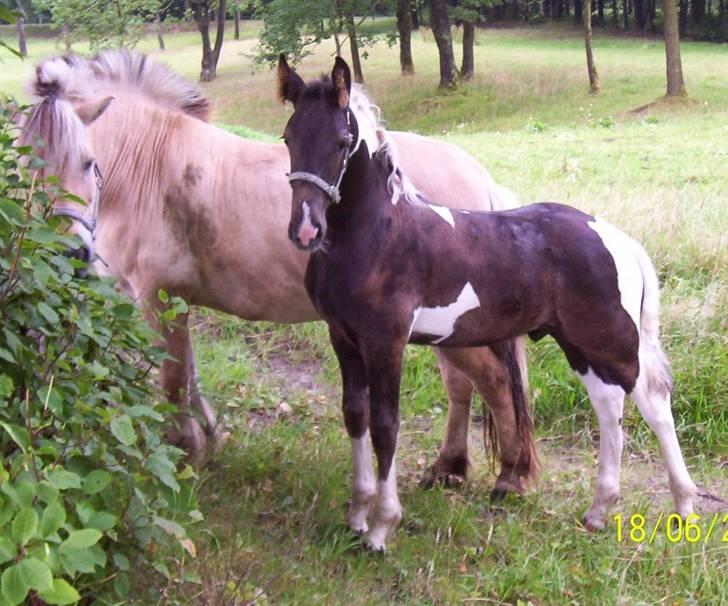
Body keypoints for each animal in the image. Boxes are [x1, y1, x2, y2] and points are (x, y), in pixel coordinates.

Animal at [25, 51, 536, 494]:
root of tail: (480, 179)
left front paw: (185, 450)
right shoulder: (179, 300)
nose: (67, 250)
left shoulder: (158, 297)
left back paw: (511, 476)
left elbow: (171, 378)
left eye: (88, 162)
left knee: (492, 381)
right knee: (462, 385)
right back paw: (450, 467)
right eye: (24, 166)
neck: (152, 166)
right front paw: (209, 434)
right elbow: (189, 370)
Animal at [276, 55, 696, 552]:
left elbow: (385, 424)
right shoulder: (343, 337)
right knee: (609, 402)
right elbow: (355, 415)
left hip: (611, 340)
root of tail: (618, 238)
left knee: (653, 402)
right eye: (288, 137)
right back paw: (598, 510)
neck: (379, 233)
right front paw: (357, 515)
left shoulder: (386, 341)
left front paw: (381, 527)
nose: (306, 229)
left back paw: (683, 506)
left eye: (342, 142)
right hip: (580, 342)